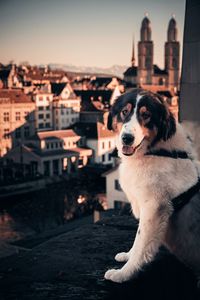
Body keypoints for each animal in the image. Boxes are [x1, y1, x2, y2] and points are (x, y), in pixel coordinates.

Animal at [104, 88, 200, 282]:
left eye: (146, 115)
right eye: (124, 112)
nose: (127, 138)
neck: (157, 151)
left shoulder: (154, 207)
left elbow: (141, 243)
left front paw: (124, 273)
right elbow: (137, 240)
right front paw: (127, 255)